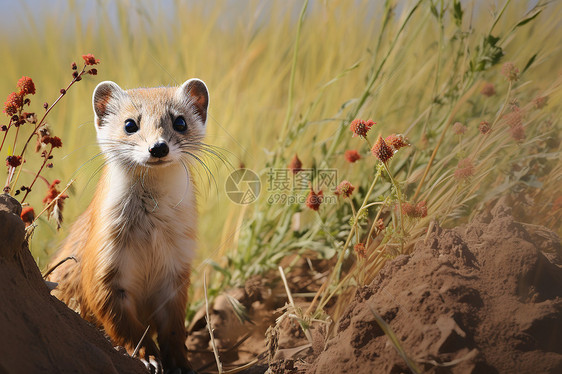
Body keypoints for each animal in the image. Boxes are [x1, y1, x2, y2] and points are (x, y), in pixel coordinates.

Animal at [47, 77, 208, 372]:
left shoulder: (178, 267)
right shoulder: (102, 261)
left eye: (180, 121)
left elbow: (174, 328)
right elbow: (122, 323)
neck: (150, 241)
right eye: (130, 124)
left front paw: (180, 364)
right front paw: (148, 357)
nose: (158, 147)